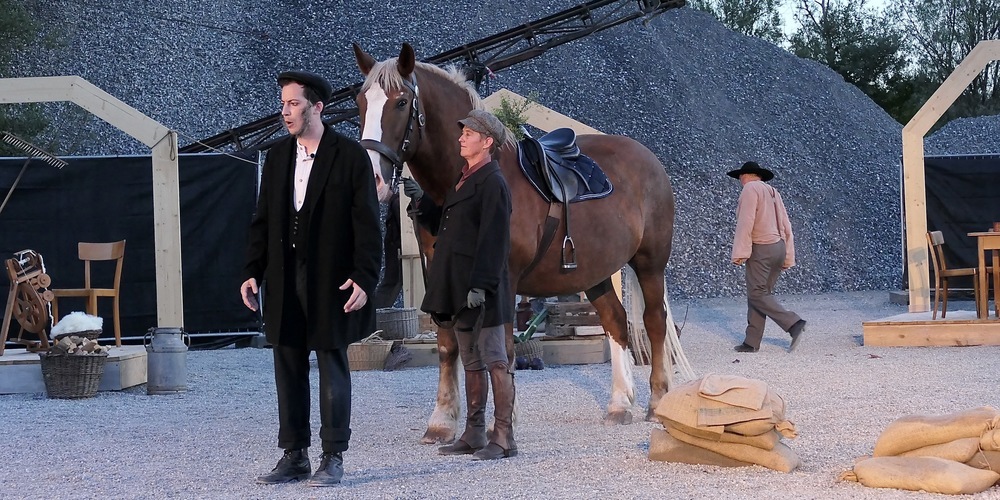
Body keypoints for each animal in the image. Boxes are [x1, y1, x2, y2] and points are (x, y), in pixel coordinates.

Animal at [353, 43, 677, 443]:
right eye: (361, 101)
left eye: (400, 102)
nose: (375, 178)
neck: (467, 182)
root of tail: (648, 158)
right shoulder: (442, 277)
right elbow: (448, 346)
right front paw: (442, 421)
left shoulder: (502, 279)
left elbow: (502, 348)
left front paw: (502, 422)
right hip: (595, 269)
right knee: (616, 321)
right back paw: (619, 404)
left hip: (650, 263)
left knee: (654, 321)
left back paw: (658, 401)